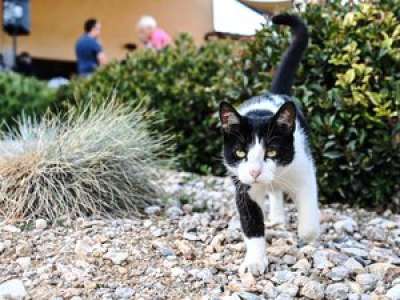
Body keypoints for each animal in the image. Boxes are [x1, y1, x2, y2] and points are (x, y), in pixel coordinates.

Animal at [217, 15, 320, 276]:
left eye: (272, 151)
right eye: (240, 152)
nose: (255, 172)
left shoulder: (304, 168)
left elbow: (308, 212)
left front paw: (308, 235)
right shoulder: (243, 187)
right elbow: (251, 223)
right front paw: (255, 261)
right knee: (274, 192)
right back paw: (276, 216)